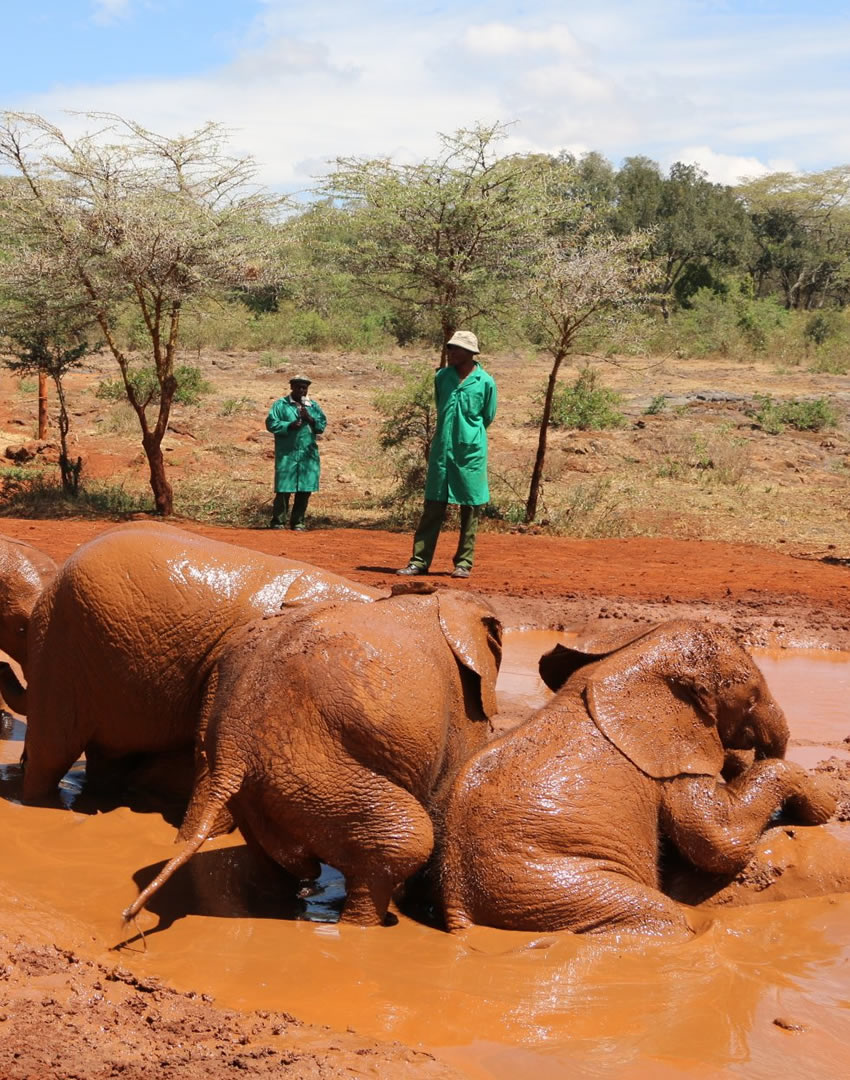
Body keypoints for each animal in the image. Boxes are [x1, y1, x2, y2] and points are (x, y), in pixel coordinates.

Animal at [122, 587, 502, 927]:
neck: (437, 598)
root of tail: (233, 752)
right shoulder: (462, 705)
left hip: (269, 785)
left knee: (281, 863)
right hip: (318, 776)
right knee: (405, 839)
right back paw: (364, 925)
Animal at [438, 619, 837, 937]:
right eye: (751, 698)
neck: (628, 659)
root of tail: (459, 914)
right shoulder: (665, 757)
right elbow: (719, 840)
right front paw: (824, 805)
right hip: (545, 891)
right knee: (658, 917)